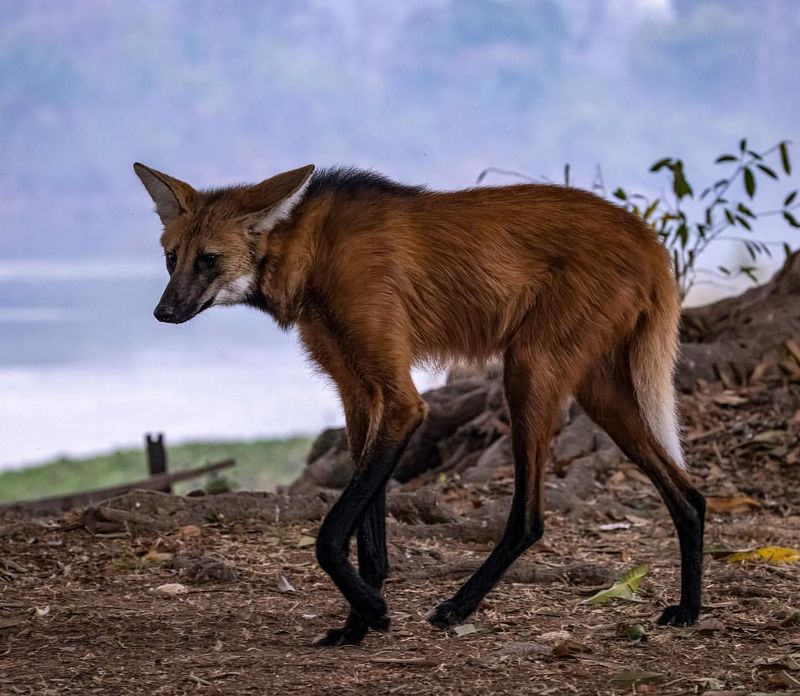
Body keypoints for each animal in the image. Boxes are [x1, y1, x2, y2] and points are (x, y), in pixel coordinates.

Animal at [134, 163, 704, 648]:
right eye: (171, 258)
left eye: (208, 259)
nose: (163, 312)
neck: (312, 253)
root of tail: (645, 235)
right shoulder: (360, 397)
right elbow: (370, 538)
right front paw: (356, 626)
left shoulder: (402, 402)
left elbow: (331, 534)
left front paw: (375, 612)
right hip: (597, 391)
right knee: (690, 497)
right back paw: (689, 610)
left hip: (529, 371)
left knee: (530, 519)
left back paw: (457, 607)